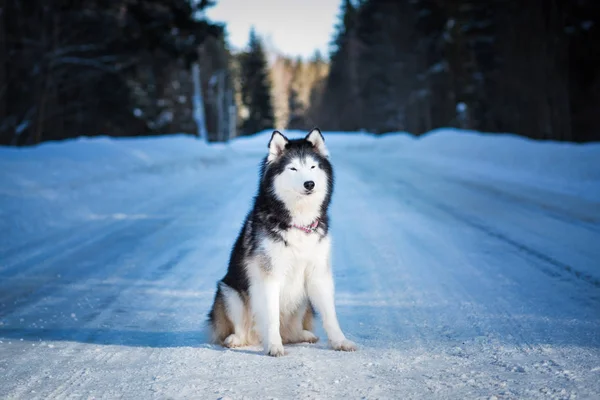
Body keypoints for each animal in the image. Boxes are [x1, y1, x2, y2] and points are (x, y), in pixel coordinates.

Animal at [207, 127, 356, 356]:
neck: (298, 221)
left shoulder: (318, 275)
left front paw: (340, 342)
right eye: (293, 168)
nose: (309, 184)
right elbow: (271, 318)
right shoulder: (269, 277)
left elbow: (330, 315)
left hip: (303, 301)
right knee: (241, 327)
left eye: (312, 166)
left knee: (293, 331)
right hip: (229, 293)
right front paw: (274, 346)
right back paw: (236, 339)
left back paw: (303, 335)